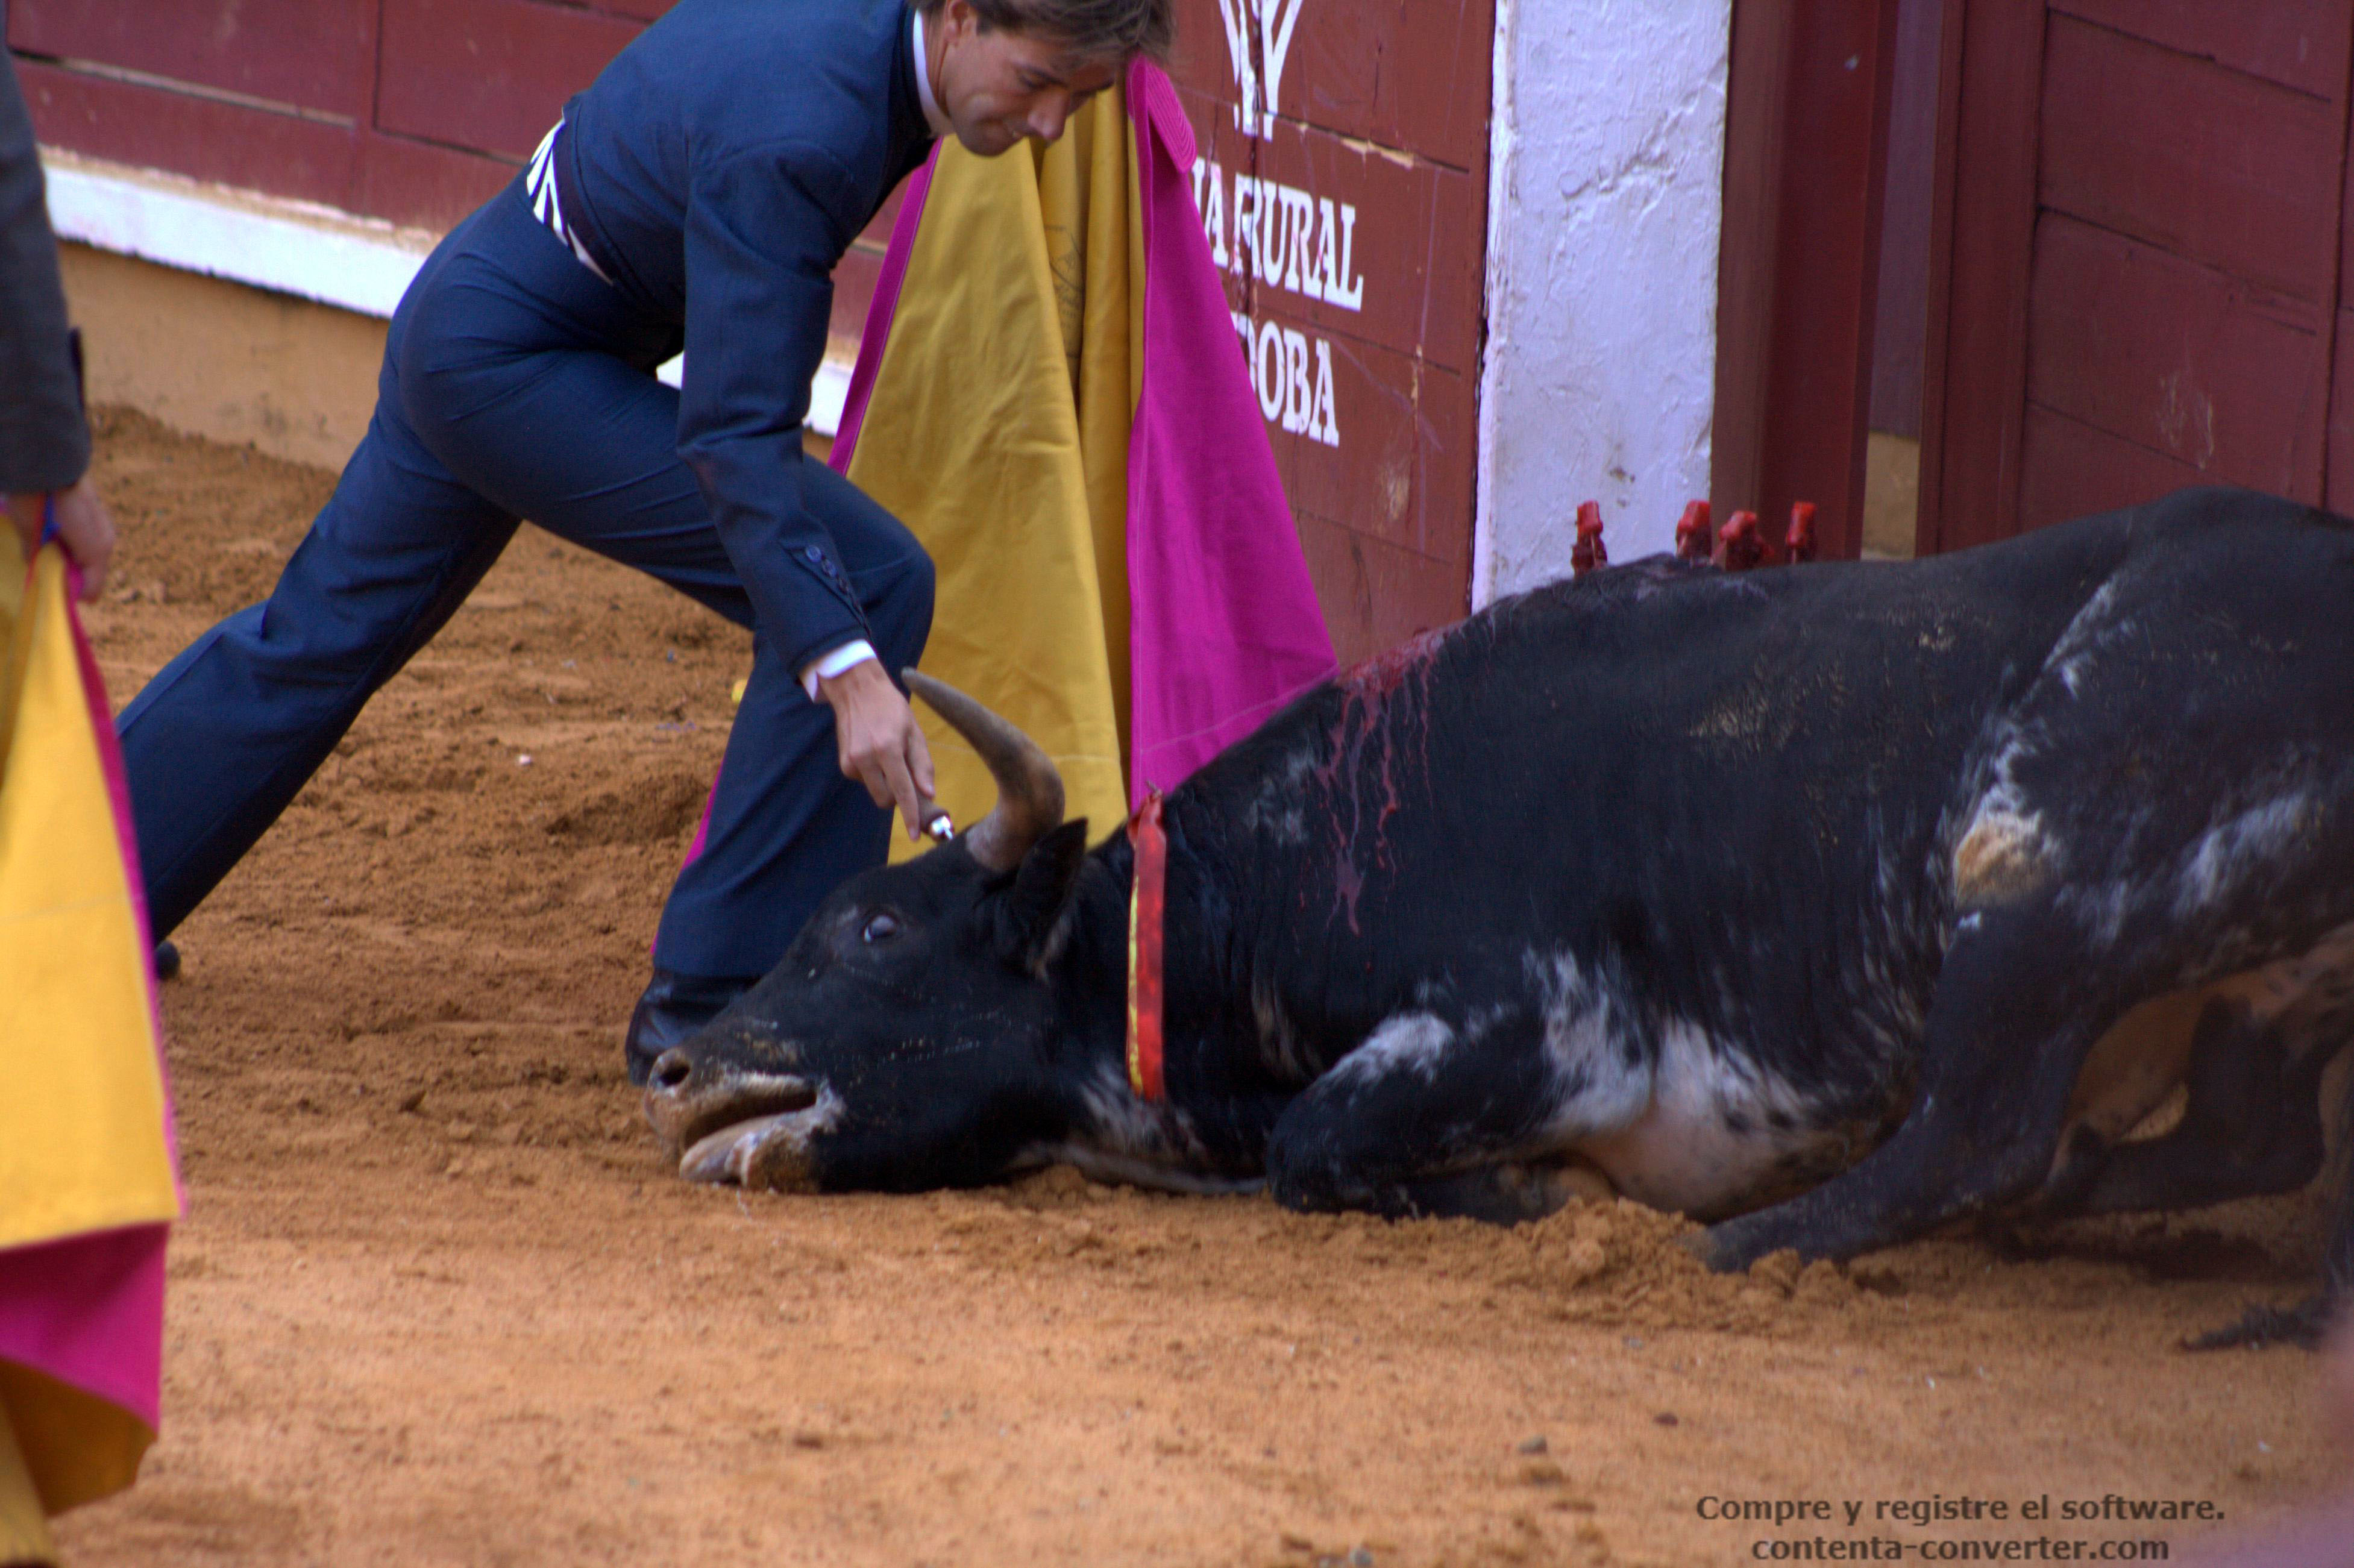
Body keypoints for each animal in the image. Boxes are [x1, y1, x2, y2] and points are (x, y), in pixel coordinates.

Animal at [645, 489, 2354, 1328]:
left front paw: (1551, 1200)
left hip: (2031, 853)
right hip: (2262, 974)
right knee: (2244, 1133)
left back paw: (1744, 1250)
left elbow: (1315, 1146)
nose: (676, 1062)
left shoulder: (1548, 1029)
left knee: (1979, 1132)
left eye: (876, 932)